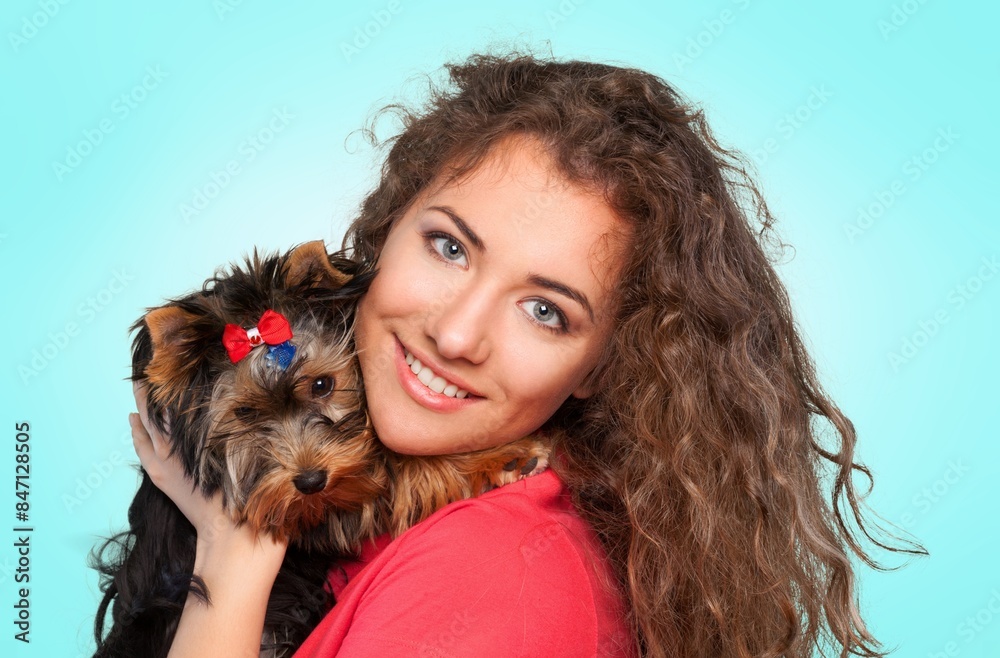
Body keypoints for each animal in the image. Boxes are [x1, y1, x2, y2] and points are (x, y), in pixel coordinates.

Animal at [90, 240, 550, 658]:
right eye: (245, 413)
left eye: (322, 384)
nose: (311, 481)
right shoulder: (305, 515)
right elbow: (391, 473)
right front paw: (500, 457)